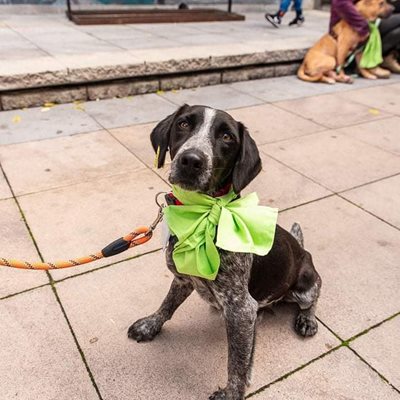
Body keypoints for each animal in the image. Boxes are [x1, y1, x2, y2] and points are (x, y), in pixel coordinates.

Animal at [128, 104, 322, 400]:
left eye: (227, 137)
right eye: (183, 124)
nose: (191, 161)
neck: (200, 213)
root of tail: (303, 249)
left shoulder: (241, 309)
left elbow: (238, 362)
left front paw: (232, 393)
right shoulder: (183, 279)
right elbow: (167, 305)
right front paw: (150, 325)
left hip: (305, 283)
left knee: (313, 297)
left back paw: (307, 319)